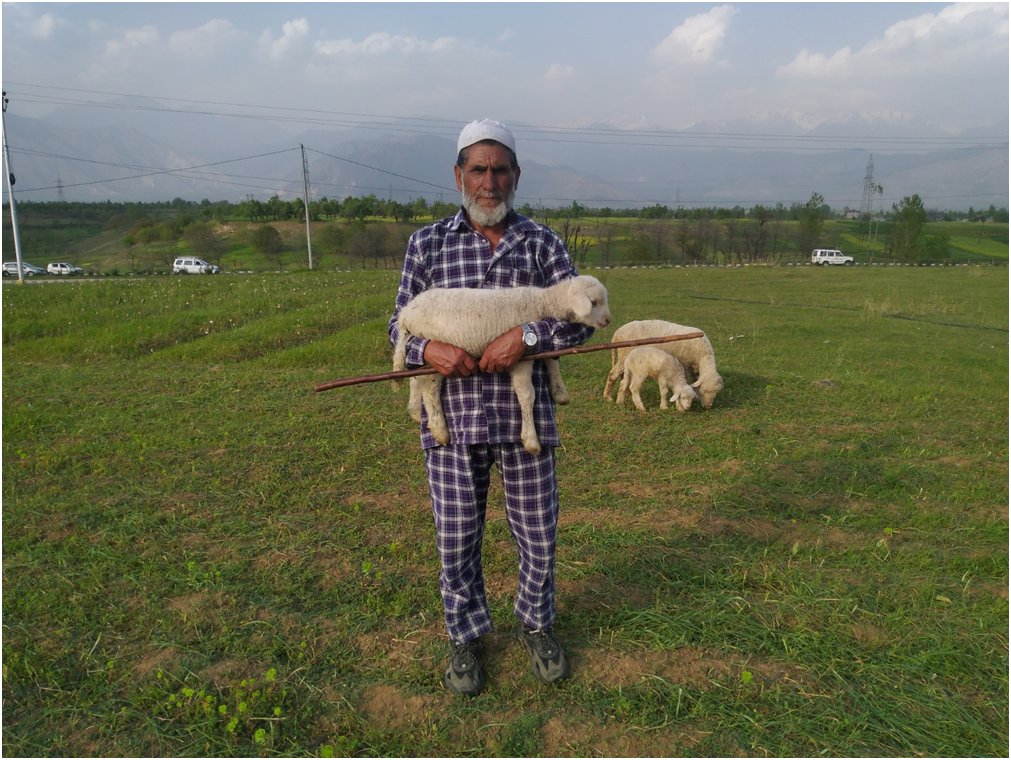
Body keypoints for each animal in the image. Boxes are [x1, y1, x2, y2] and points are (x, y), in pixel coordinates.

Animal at [388, 274, 606, 454]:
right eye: (593, 302)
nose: (607, 320)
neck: (540, 303)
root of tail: (405, 314)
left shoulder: (540, 345)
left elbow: (551, 361)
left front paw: (559, 391)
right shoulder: (520, 357)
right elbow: (527, 396)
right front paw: (531, 440)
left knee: (416, 379)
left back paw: (416, 411)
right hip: (435, 350)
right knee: (429, 389)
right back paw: (439, 429)